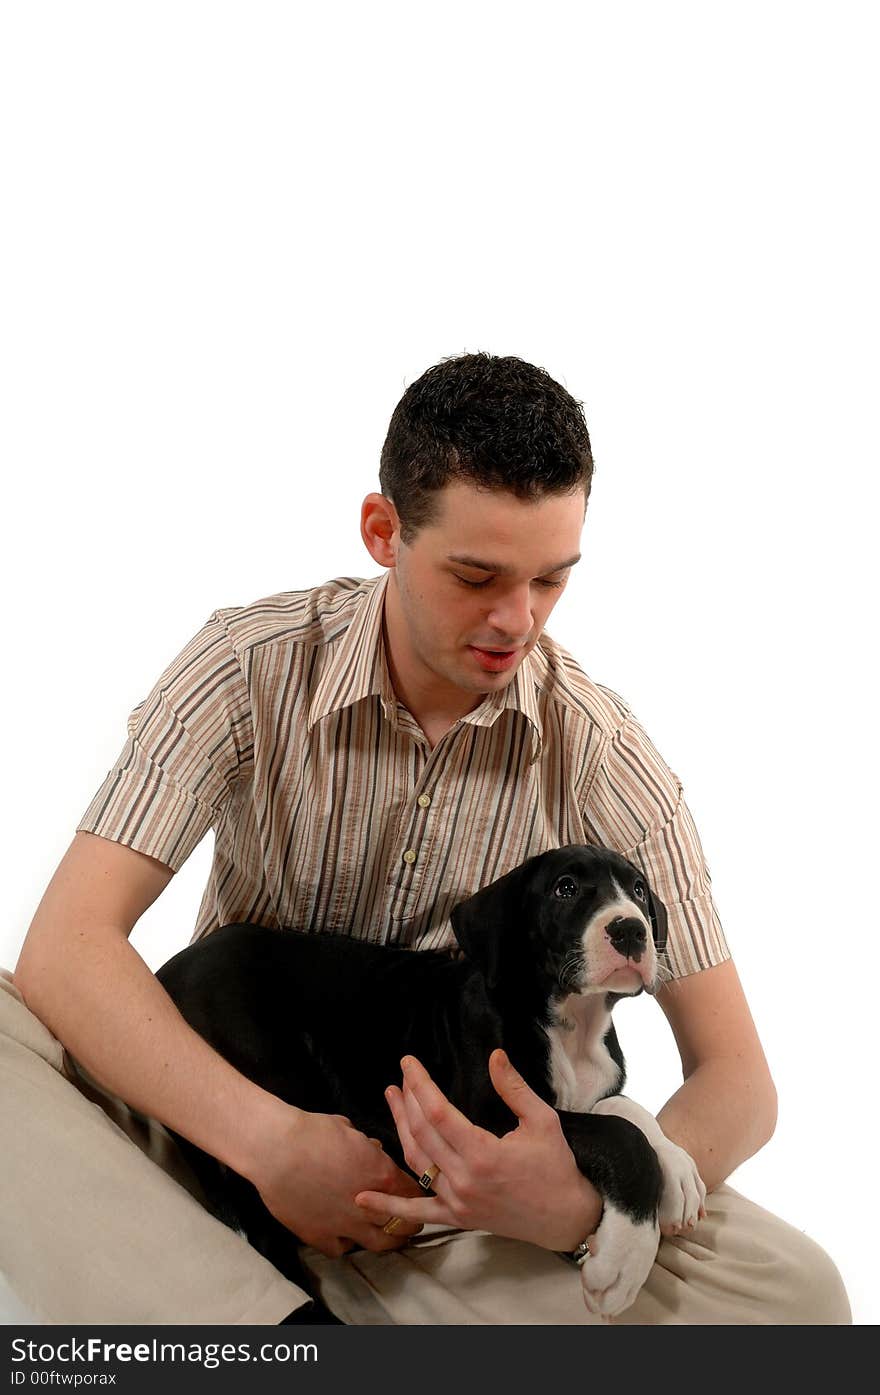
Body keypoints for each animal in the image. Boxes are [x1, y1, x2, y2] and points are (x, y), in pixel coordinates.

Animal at [158, 842, 705, 1311]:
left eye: (639, 889)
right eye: (565, 888)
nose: (631, 929)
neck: (571, 1026)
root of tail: (167, 971)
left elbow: (623, 1109)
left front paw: (679, 1172)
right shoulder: (488, 1123)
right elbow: (617, 1134)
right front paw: (625, 1259)